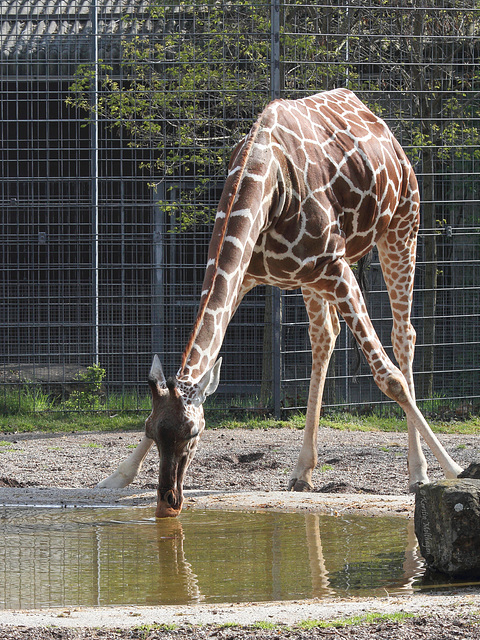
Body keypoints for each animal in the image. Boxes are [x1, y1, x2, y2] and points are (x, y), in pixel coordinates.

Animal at [98, 89, 464, 516]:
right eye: (153, 432)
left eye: (193, 433)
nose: (168, 503)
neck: (264, 180)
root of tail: (377, 121)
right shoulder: (246, 275)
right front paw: (116, 477)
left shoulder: (337, 265)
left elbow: (388, 377)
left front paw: (454, 470)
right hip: (313, 278)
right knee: (325, 337)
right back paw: (302, 471)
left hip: (402, 227)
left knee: (404, 336)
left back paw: (418, 471)